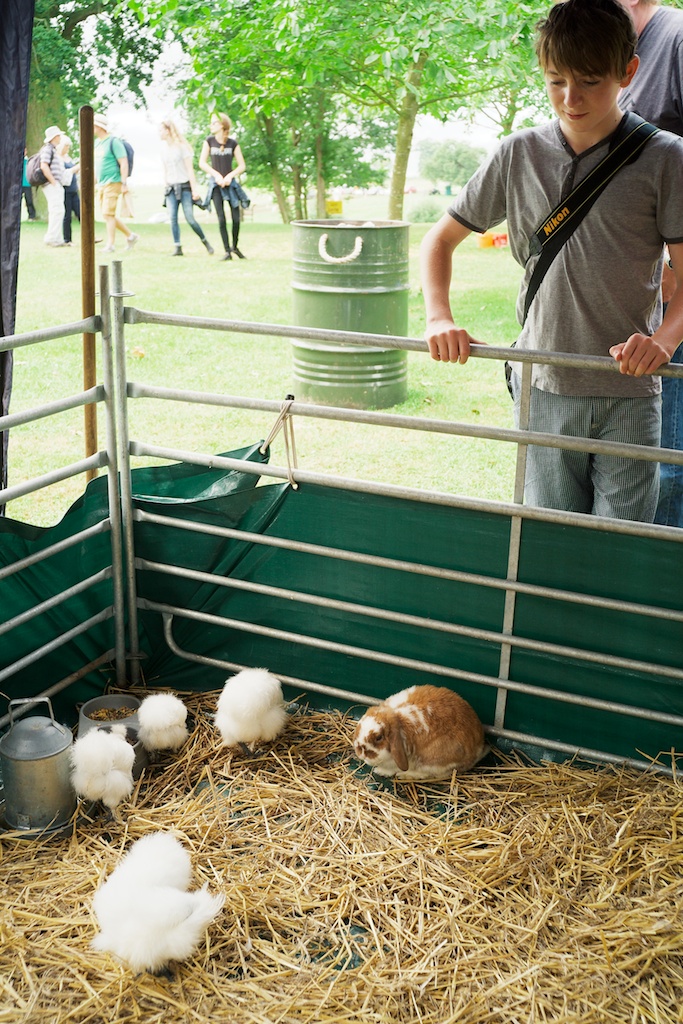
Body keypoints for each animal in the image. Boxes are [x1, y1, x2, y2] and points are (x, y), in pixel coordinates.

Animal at [352, 684, 485, 778]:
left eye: (379, 737)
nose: (360, 751)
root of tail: (478, 748)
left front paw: (380, 771)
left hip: (432, 762)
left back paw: (405, 775)